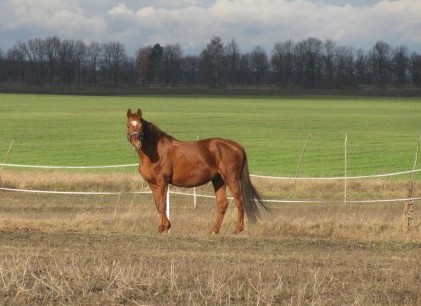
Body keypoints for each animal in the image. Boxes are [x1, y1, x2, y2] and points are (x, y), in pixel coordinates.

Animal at [126, 107, 268, 234]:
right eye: (128, 126)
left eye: (141, 126)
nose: (136, 143)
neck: (155, 153)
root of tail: (237, 146)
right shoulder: (152, 184)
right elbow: (158, 205)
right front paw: (162, 227)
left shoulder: (162, 182)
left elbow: (162, 204)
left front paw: (166, 227)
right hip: (218, 180)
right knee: (222, 204)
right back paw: (213, 230)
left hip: (231, 179)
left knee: (239, 202)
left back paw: (237, 230)